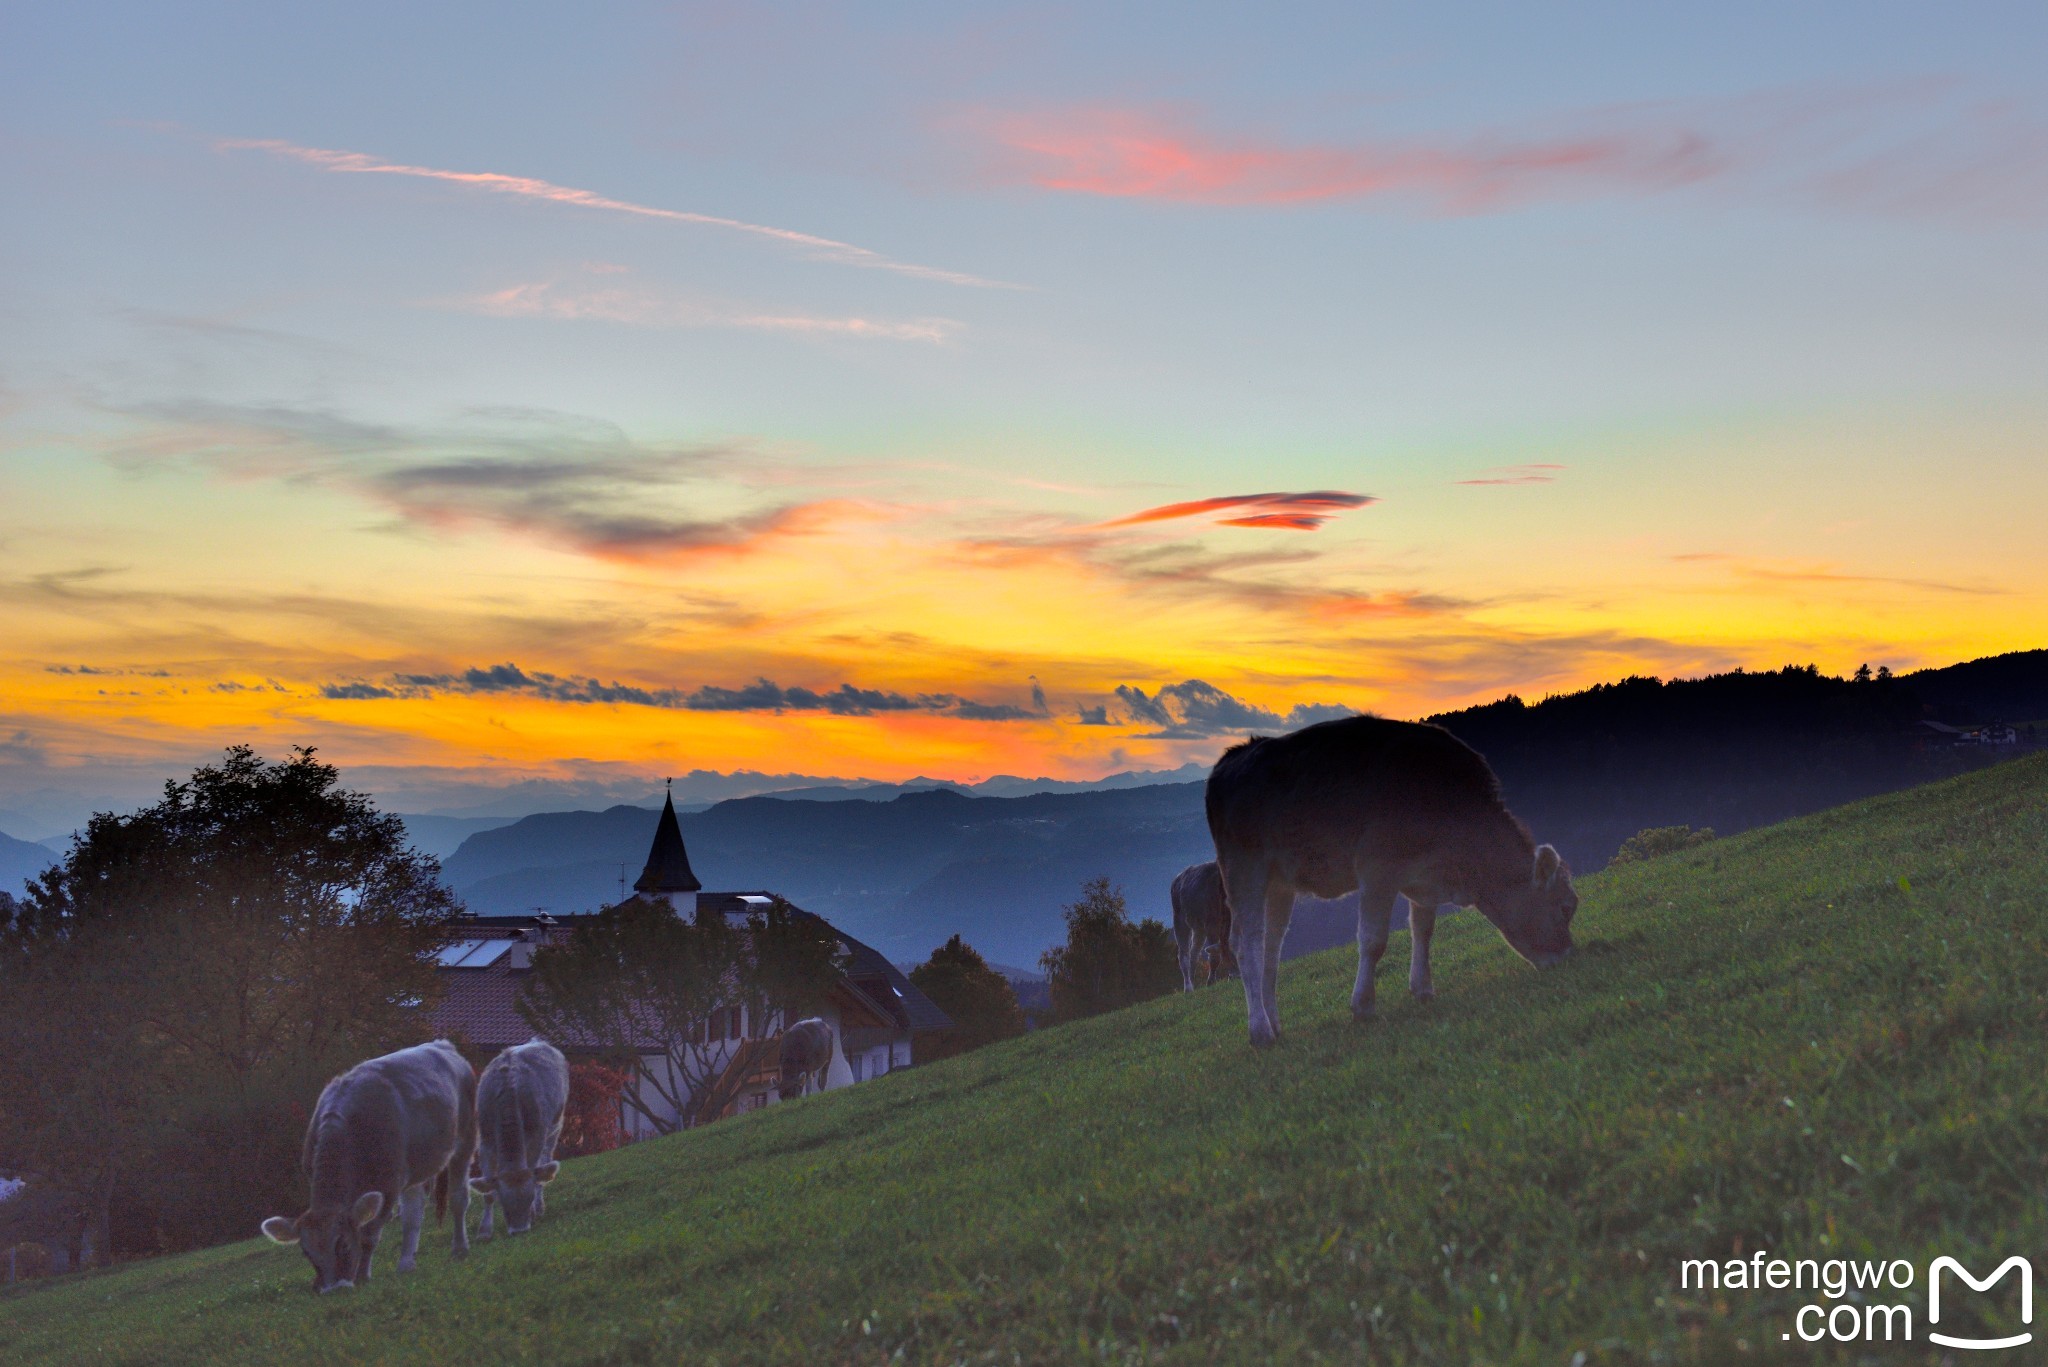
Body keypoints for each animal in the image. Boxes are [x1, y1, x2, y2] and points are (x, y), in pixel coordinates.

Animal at [256, 1037, 475, 1295]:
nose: (333, 1289)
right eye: (306, 1253)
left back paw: (460, 1249)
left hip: (466, 1139)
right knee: (413, 1213)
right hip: (417, 1167)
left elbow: (368, 1235)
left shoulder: (389, 1184)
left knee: (458, 1197)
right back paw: (406, 1264)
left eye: (342, 1244)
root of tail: (442, 1044)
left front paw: (362, 1276)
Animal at [468, 1041, 569, 1246]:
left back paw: (540, 1207)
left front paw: (533, 1211)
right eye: (503, 1200)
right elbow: (487, 1191)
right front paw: (484, 1231)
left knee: (545, 1163)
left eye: (528, 1197)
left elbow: (535, 1172)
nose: (520, 1230)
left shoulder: (536, 1136)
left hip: (554, 1128)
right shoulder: (485, 1143)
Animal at [1204, 717, 1572, 1049]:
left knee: (1271, 946)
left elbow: (1423, 929)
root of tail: (1233, 758)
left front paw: (1423, 989)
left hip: (1279, 882)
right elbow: (1373, 940)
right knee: (1246, 944)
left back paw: (1274, 1022)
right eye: (1565, 907)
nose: (1567, 955)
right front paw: (1363, 1007)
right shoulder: (1377, 868)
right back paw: (1260, 1032)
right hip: (1243, 869)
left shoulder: (1422, 874)